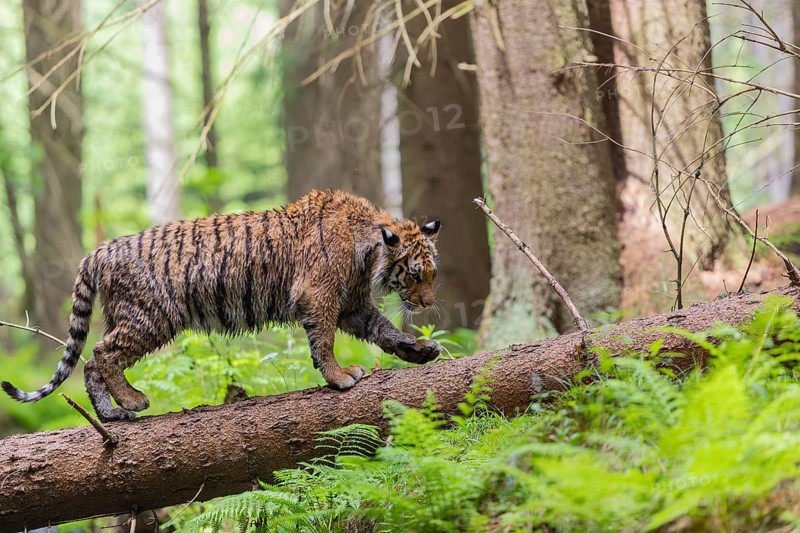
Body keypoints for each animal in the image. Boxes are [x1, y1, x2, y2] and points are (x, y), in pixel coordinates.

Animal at [1, 190, 442, 421]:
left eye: (432, 274)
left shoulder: (351, 304)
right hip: (149, 318)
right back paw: (129, 401)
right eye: (415, 274)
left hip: (125, 317)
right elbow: (325, 341)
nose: (428, 303)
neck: (368, 252)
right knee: (100, 353)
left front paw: (419, 349)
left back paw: (111, 413)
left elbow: (384, 329)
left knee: (91, 362)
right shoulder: (319, 296)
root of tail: (100, 250)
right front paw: (339, 377)